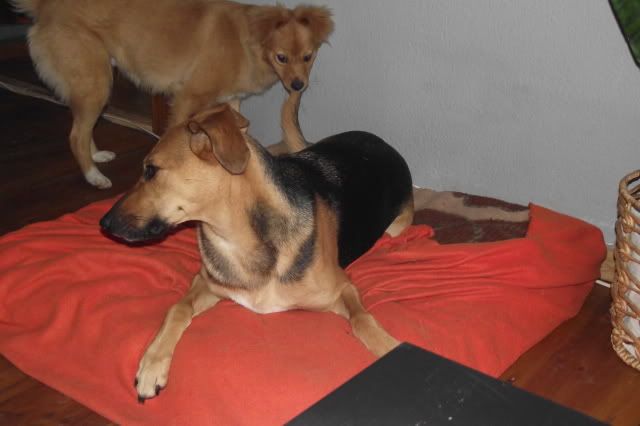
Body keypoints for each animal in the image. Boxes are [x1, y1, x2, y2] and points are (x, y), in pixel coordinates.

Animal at [13, 0, 333, 188]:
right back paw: (94, 176)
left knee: (83, 128)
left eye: (308, 57)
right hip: (97, 83)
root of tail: (45, 6)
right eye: (282, 58)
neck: (249, 42)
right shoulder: (187, 99)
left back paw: (97, 156)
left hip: (92, 86)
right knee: (75, 135)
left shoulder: (232, 101)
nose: (298, 86)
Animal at [99, 103, 414, 401]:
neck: (236, 237)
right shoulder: (207, 282)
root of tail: (379, 141)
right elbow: (177, 308)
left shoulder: (342, 287)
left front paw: (390, 347)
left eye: (151, 170)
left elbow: (362, 319)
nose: (104, 224)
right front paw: (152, 363)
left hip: (399, 224)